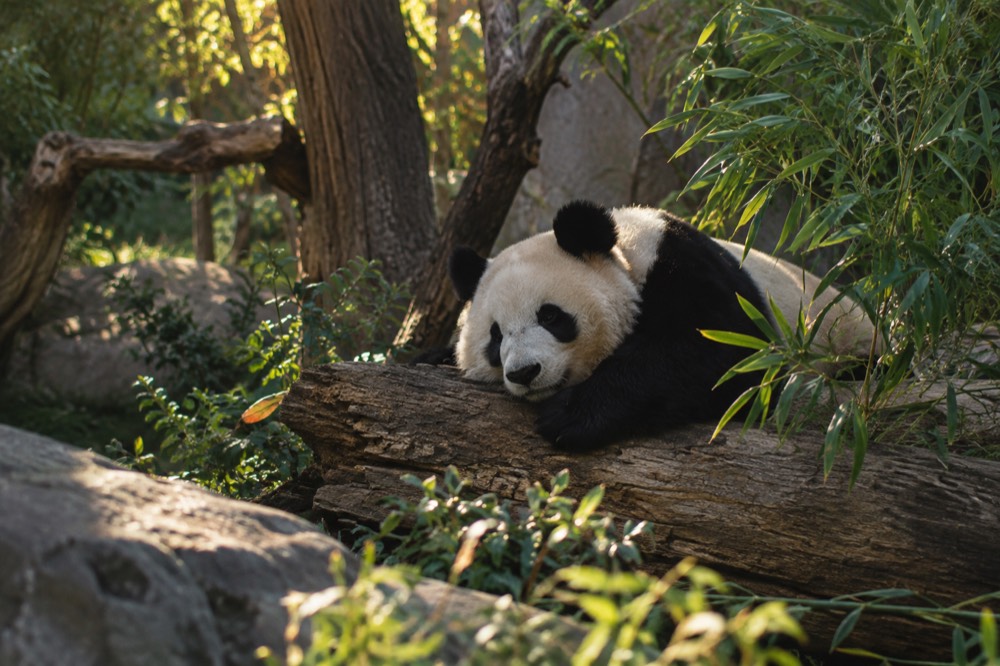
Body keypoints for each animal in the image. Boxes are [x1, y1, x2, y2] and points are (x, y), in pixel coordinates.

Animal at [440, 200, 875, 449]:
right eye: (495, 337)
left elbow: (725, 353)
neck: (627, 254)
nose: (524, 372)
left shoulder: (689, 270)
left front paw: (570, 415)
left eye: (550, 316)